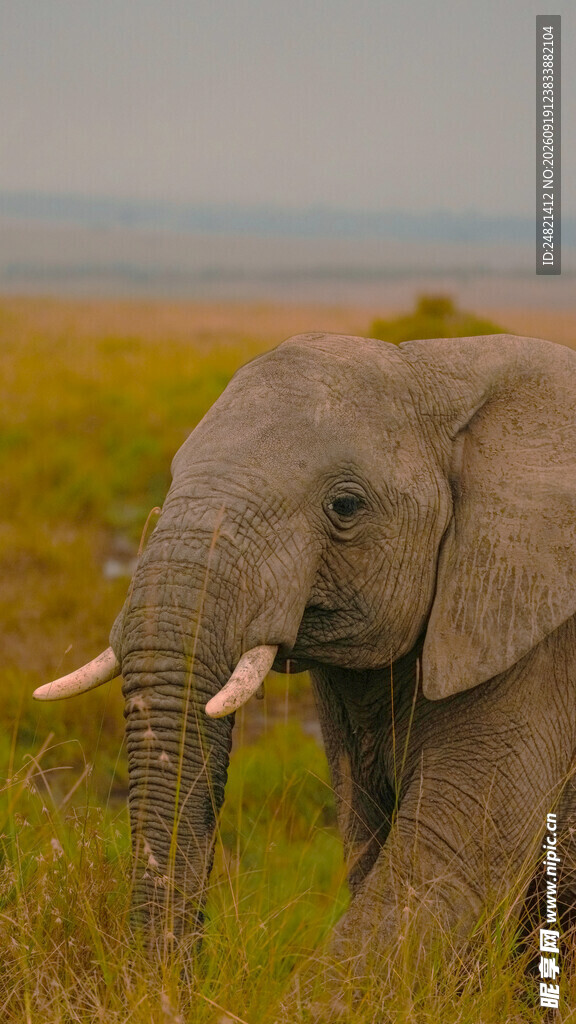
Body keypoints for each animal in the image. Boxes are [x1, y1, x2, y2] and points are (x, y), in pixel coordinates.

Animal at [34, 331, 576, 999]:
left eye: (345, 505)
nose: (169, 990)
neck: (438, 369)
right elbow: (370, 844)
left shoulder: (534, 635)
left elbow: (444, 857)